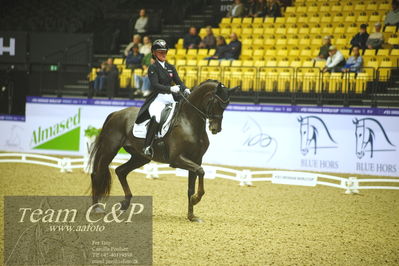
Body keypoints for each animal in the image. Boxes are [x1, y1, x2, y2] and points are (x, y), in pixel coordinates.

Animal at [89, 80, 236, 221]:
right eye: (216, 102)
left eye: (227, 104)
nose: (215, 129)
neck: (189, 122)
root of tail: (116, 113)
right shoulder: (176, 159)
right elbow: (201, 171)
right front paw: (196, 199)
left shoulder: (196, 159)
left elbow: (191, 186)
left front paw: (191, 216)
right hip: (110, 149)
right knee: (97, 173)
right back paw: (96, 208)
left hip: (140, 157)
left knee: (120, 171)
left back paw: (125, 203)